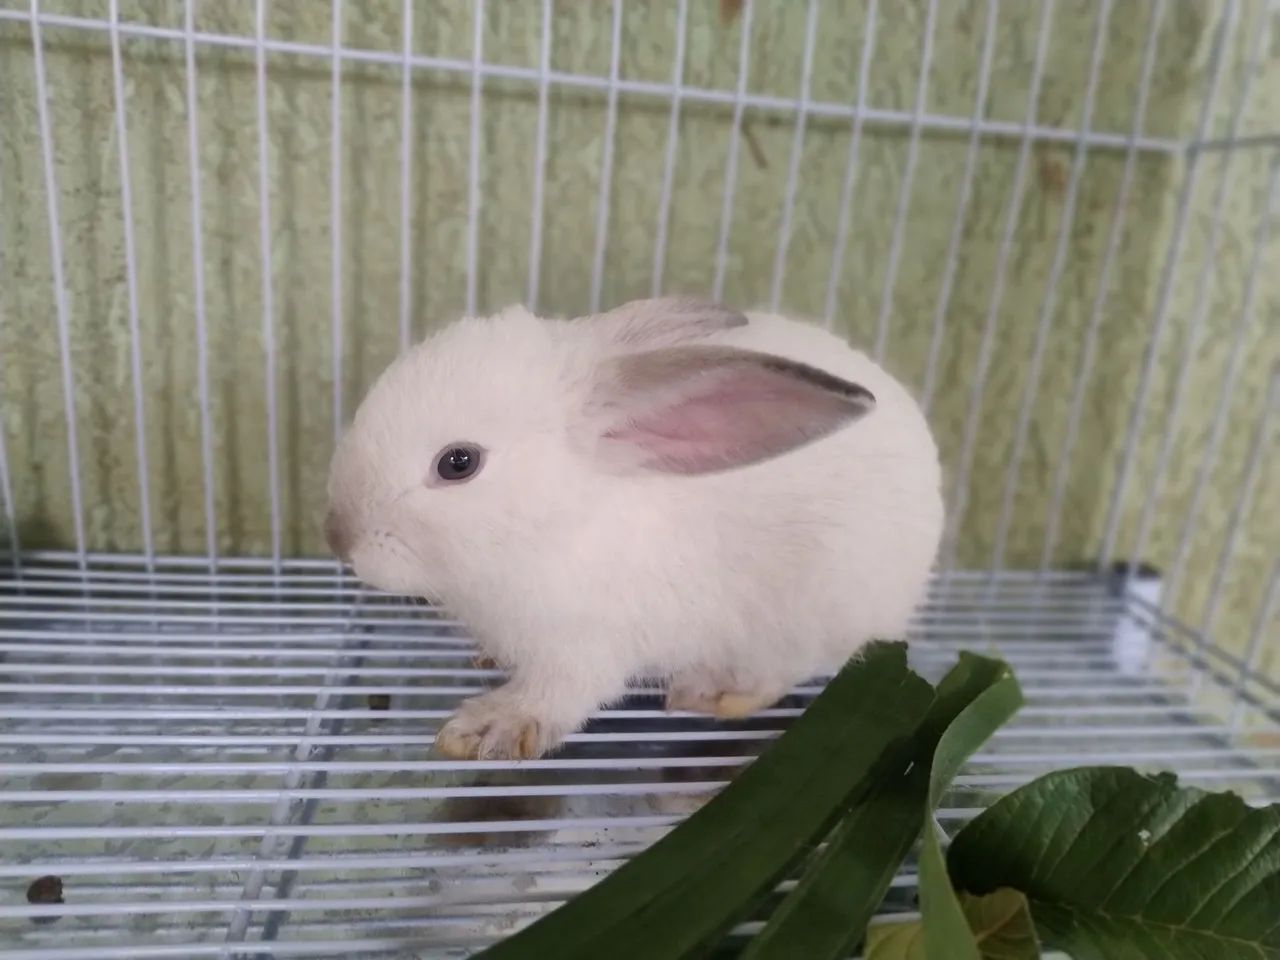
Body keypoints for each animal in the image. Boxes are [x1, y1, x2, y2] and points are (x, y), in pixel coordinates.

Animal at [325, 297, 943, 761]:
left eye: (458, 463)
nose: (337, 536)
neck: (557, 522)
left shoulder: (584, 648)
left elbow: (555, 697)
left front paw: (484, 728)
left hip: (802, 617)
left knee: (781, 671)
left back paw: (711, 694)